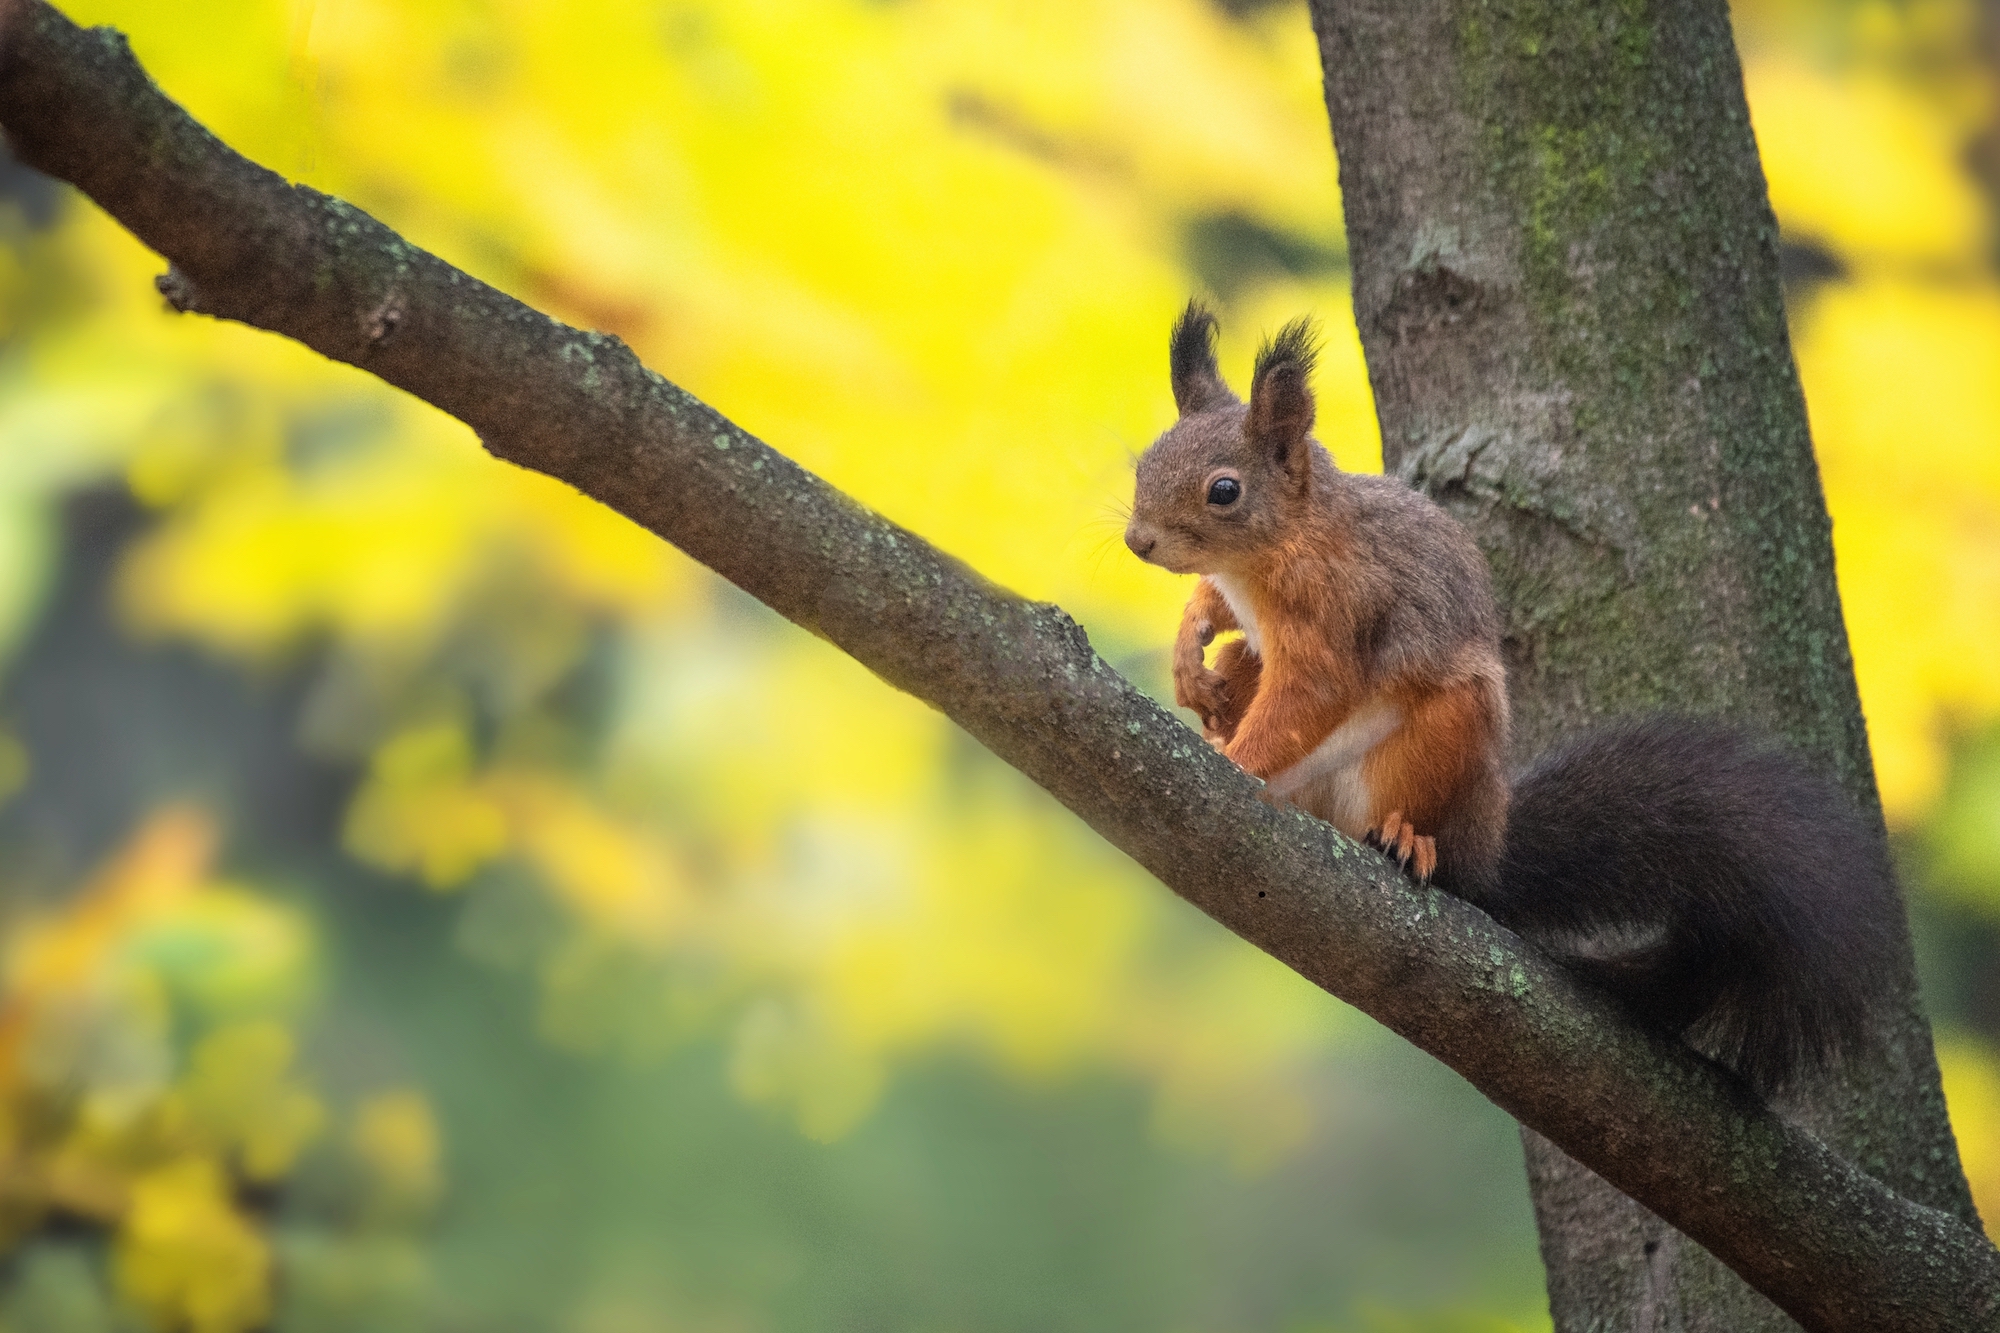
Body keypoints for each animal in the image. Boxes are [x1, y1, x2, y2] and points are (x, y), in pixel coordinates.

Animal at [1136, 300, 1896, 1088]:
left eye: (1224, 491)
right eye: (1145, 460)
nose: (1137, 540)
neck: (1277, 546)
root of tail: (1489, 844)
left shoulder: (1337, 610)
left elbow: (1308, 695)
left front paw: (1237, 759)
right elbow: (1217, 613)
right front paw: (1192, 654)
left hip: (1439, 744)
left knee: (1427, 832)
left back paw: (1407, 838)